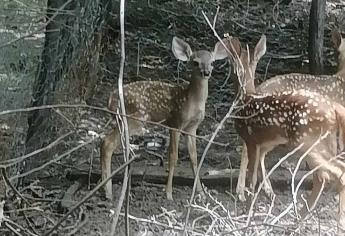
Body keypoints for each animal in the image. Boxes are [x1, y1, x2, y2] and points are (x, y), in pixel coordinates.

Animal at [99, 36, 227, 200]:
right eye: (195, 62)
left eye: (212, 62)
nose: (206, 72)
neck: (192, 100)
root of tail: (110, 100)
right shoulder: (176, 122)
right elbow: (173, 157)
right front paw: (169, 193)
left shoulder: (192, 127)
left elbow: (194, 157)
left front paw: (200, 192)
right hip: (135, 118)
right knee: (107, 144)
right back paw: (108, 192)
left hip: (123, 120)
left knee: (106, 142)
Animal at [223, 35, 345, 232]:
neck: (246, 98)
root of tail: (333, 109)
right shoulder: (264, 143)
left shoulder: (251, 140)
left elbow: (252, 179)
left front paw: (247, 214)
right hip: (324, 143)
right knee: (326, 174)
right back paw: (299, 218)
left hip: (308, 141)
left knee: (329, 174)